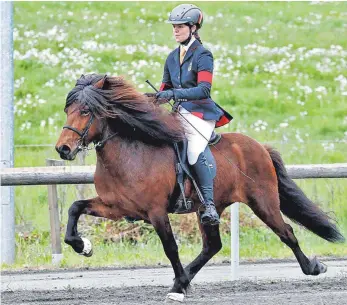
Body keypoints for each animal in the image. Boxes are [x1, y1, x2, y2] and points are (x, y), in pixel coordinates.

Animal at [55, 73, 346, 300]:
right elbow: (75, 208)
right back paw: (182, 281)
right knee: (212, 246)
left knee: (286, 232)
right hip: (209, 209)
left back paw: (313, 268)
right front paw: (83, 246)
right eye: (68, 110)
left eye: (85, 111)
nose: (63, 149)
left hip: (264, 202)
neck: (130, 153)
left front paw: (179, 287)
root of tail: (260, 147)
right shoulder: (117, 207)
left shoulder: (156, 212)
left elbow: (170, 247)